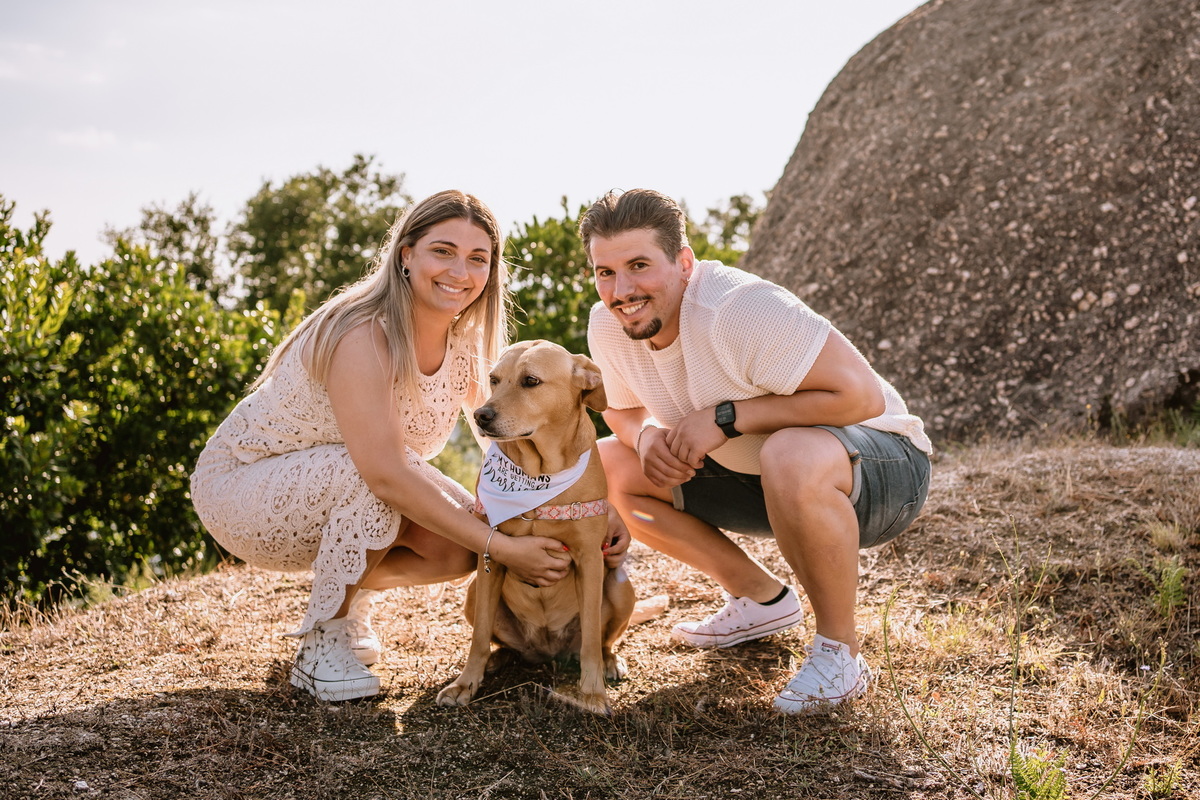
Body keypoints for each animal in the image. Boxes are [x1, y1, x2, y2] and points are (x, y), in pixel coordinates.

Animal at [435, 340, 636, 715]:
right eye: (494, 379)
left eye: (531, 381)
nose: (481, 415)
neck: (539, 475)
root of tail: (547, 651)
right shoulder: (490, 558)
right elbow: (478, 636)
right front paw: (465, 684)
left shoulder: (590, 559)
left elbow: (591, 637)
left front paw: (592, 693)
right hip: (473, 590)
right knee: (498, 641)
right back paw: (498, 660)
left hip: (621, 586)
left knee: (602, 640)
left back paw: (609, 662)